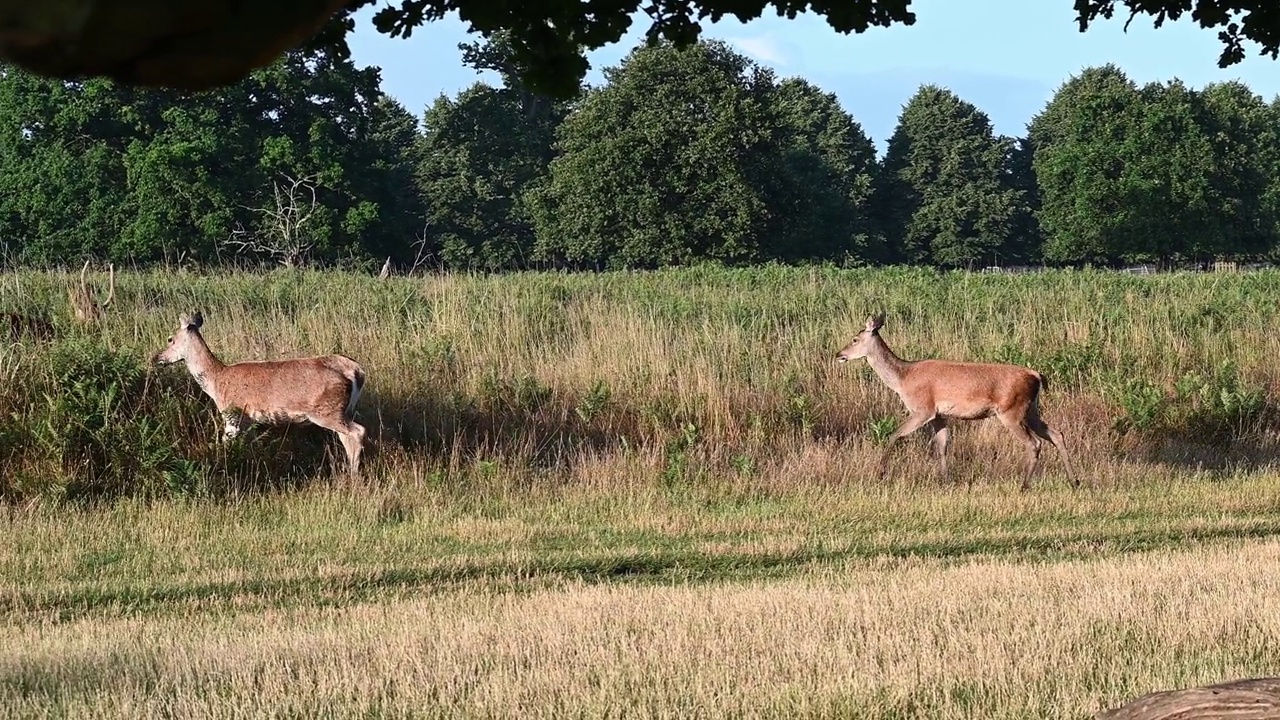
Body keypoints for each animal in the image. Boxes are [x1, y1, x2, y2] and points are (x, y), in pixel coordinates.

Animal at [153, 310, 371, 474]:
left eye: (170, 339)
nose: (157, 357)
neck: (216, 381)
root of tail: (356, 371)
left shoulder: (232, 414)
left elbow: (224, 441)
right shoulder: (248, 420)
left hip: (326, 410)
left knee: (357, 431)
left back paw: (353, 474)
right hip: (343, 410)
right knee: (347, 436)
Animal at [834, 311, 1075, 489]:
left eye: (854, 339)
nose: (839, 354)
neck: (902, 379)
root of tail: (1037, 375)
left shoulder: (923, 408)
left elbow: (895, 434)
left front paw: (880, 473)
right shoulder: (939, 415)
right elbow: (942, 445)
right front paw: (945, 480)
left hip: (1012, 410)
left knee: (1034, 443)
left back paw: (1025, 485)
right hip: (1031, 410)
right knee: (1057, 434)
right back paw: (1075, 480)